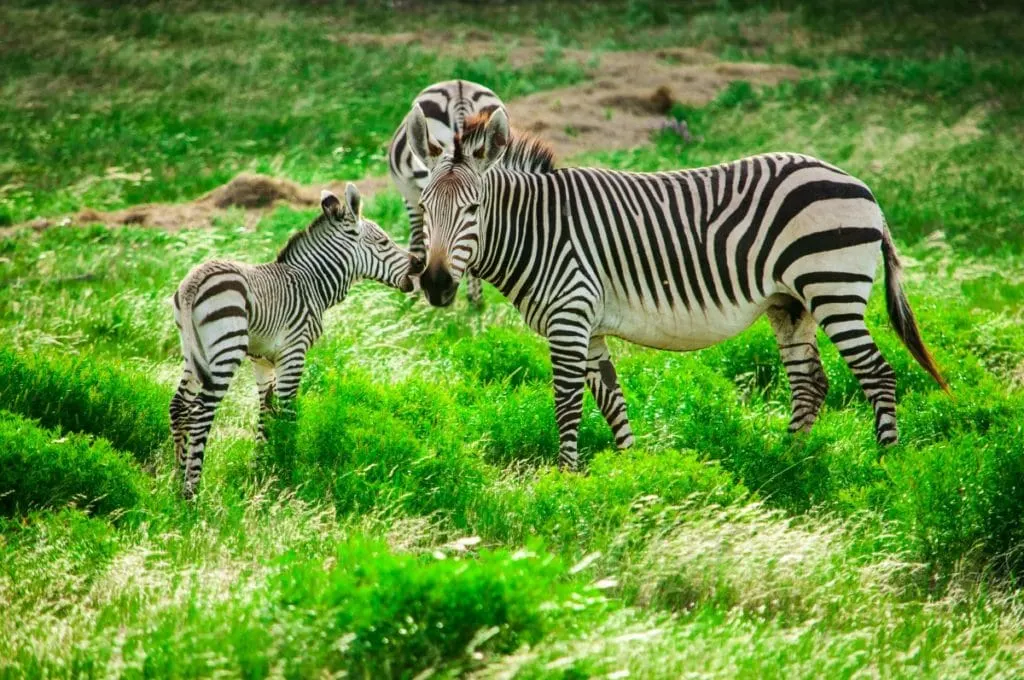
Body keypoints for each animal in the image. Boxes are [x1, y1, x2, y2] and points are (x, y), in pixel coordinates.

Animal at [169, 184, 413, 498]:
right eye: (383, 242)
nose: (417, 271)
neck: (312, 283)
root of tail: (193, 283)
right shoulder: (294, 353)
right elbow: (287, 413)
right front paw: (286, 476)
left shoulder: (262, 361)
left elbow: (266, 411)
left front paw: (260, 471)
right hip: (226, 349)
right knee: (202, 409)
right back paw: (192, 491)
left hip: (193, 351)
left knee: (180, 405)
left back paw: (176, 482)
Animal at [405, 106, 948, 470]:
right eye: (425, 208)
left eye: (472, 209)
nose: (434, 283)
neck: (538, 229)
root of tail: (862, 187)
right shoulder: (589, 326)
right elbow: (611, 400)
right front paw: (631, 470)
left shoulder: (569, 318)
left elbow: (566, 402)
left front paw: (565, 479)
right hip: (790, 303)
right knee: (810, 384)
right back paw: (786, 461)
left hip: (832, 289)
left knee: (877, 374)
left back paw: (884, 466)